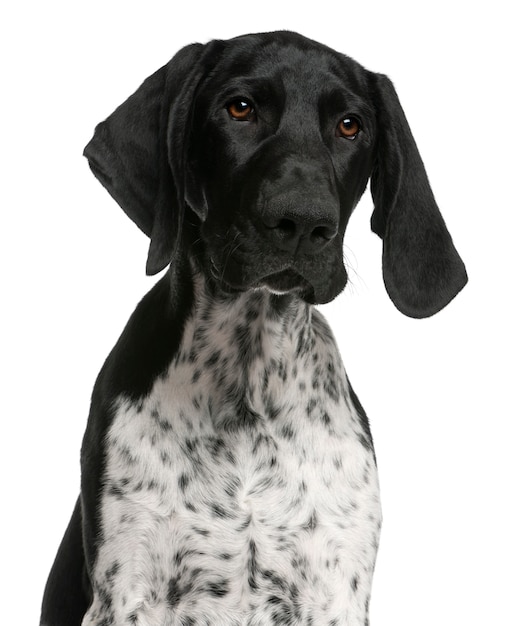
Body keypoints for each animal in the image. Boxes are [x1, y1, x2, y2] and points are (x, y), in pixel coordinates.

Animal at [40, 30, 470, 624]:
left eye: (350, 125)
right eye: (239, 108)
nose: (304, 223)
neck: (250, 380)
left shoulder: (335, 595)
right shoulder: (127, 594)